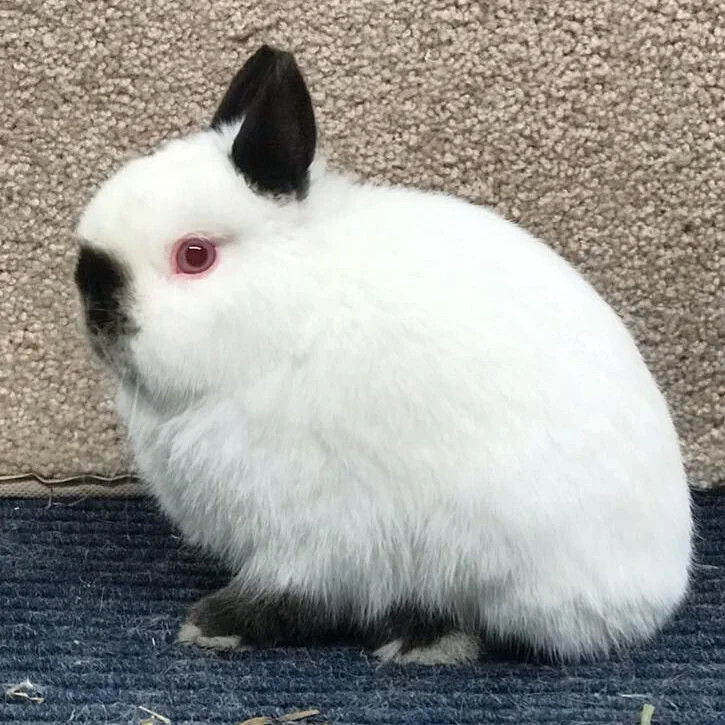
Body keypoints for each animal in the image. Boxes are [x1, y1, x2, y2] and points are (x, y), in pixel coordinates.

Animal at [74, 44, 693, 665]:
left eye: (195, 256)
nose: (93, 308)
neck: (289, 317)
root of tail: (656, 589)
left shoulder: (314, 527)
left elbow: (293, 591)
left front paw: (214, 624)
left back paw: (418, 639)